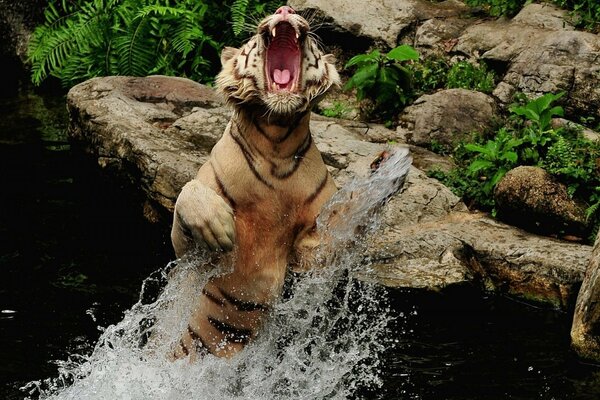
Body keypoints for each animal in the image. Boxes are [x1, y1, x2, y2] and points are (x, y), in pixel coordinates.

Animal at [169, 3, 404, 360]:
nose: (285, 8)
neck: (275, 142)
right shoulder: (188, 253)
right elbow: (187, 194)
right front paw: (218, 227)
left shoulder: (311, 254)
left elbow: (343, 224)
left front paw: (385, 172)